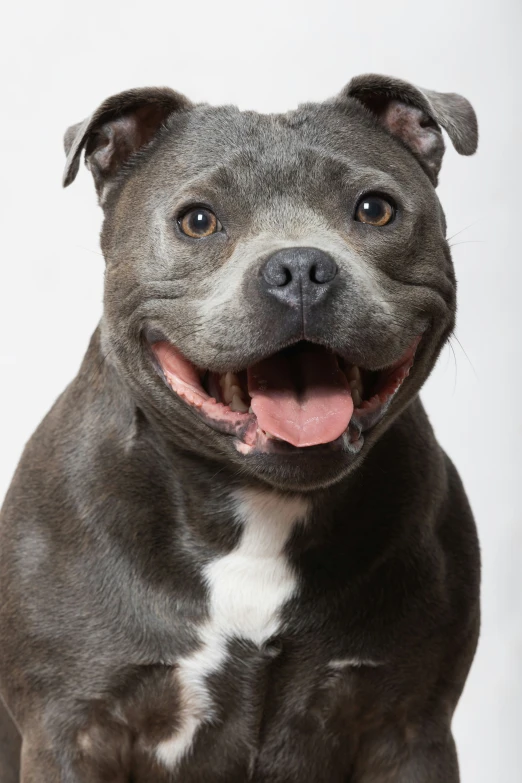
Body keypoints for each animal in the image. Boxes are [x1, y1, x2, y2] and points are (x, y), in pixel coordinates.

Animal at [0, 75, 480, 783]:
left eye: (375, 210)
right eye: (198, 220)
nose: (301, 268)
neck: (261, 506)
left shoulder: (409, 726)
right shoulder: (72, 729)